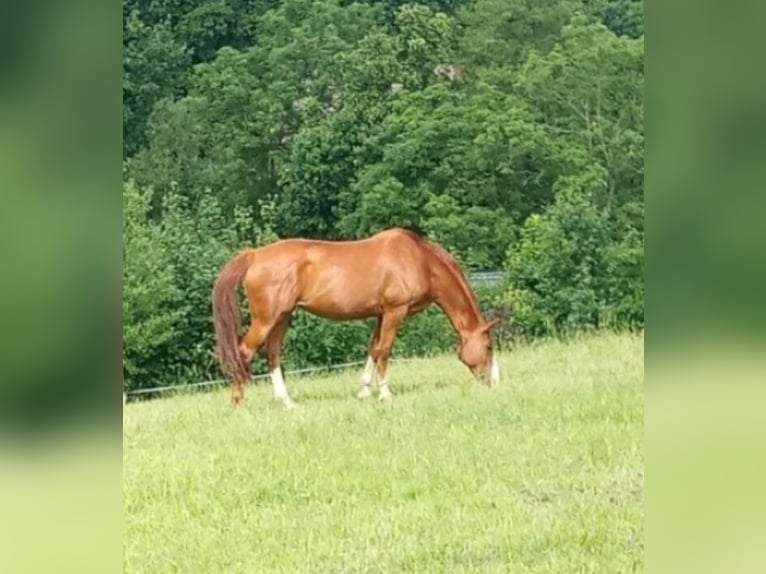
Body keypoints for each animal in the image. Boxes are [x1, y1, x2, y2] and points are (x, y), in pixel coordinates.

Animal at [211, 228, 500, 408]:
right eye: (488, 346)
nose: (493, 381)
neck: (421, 260)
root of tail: (254, 255)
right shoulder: (395, 311)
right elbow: (385, 350)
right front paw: (384, 394)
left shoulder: (381, 314)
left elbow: (373, 349)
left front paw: (364, 391)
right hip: (266, 319)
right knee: (244, 352)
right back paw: (238, 403)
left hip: (282, 317)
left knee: (272, 355)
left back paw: (287, 402)